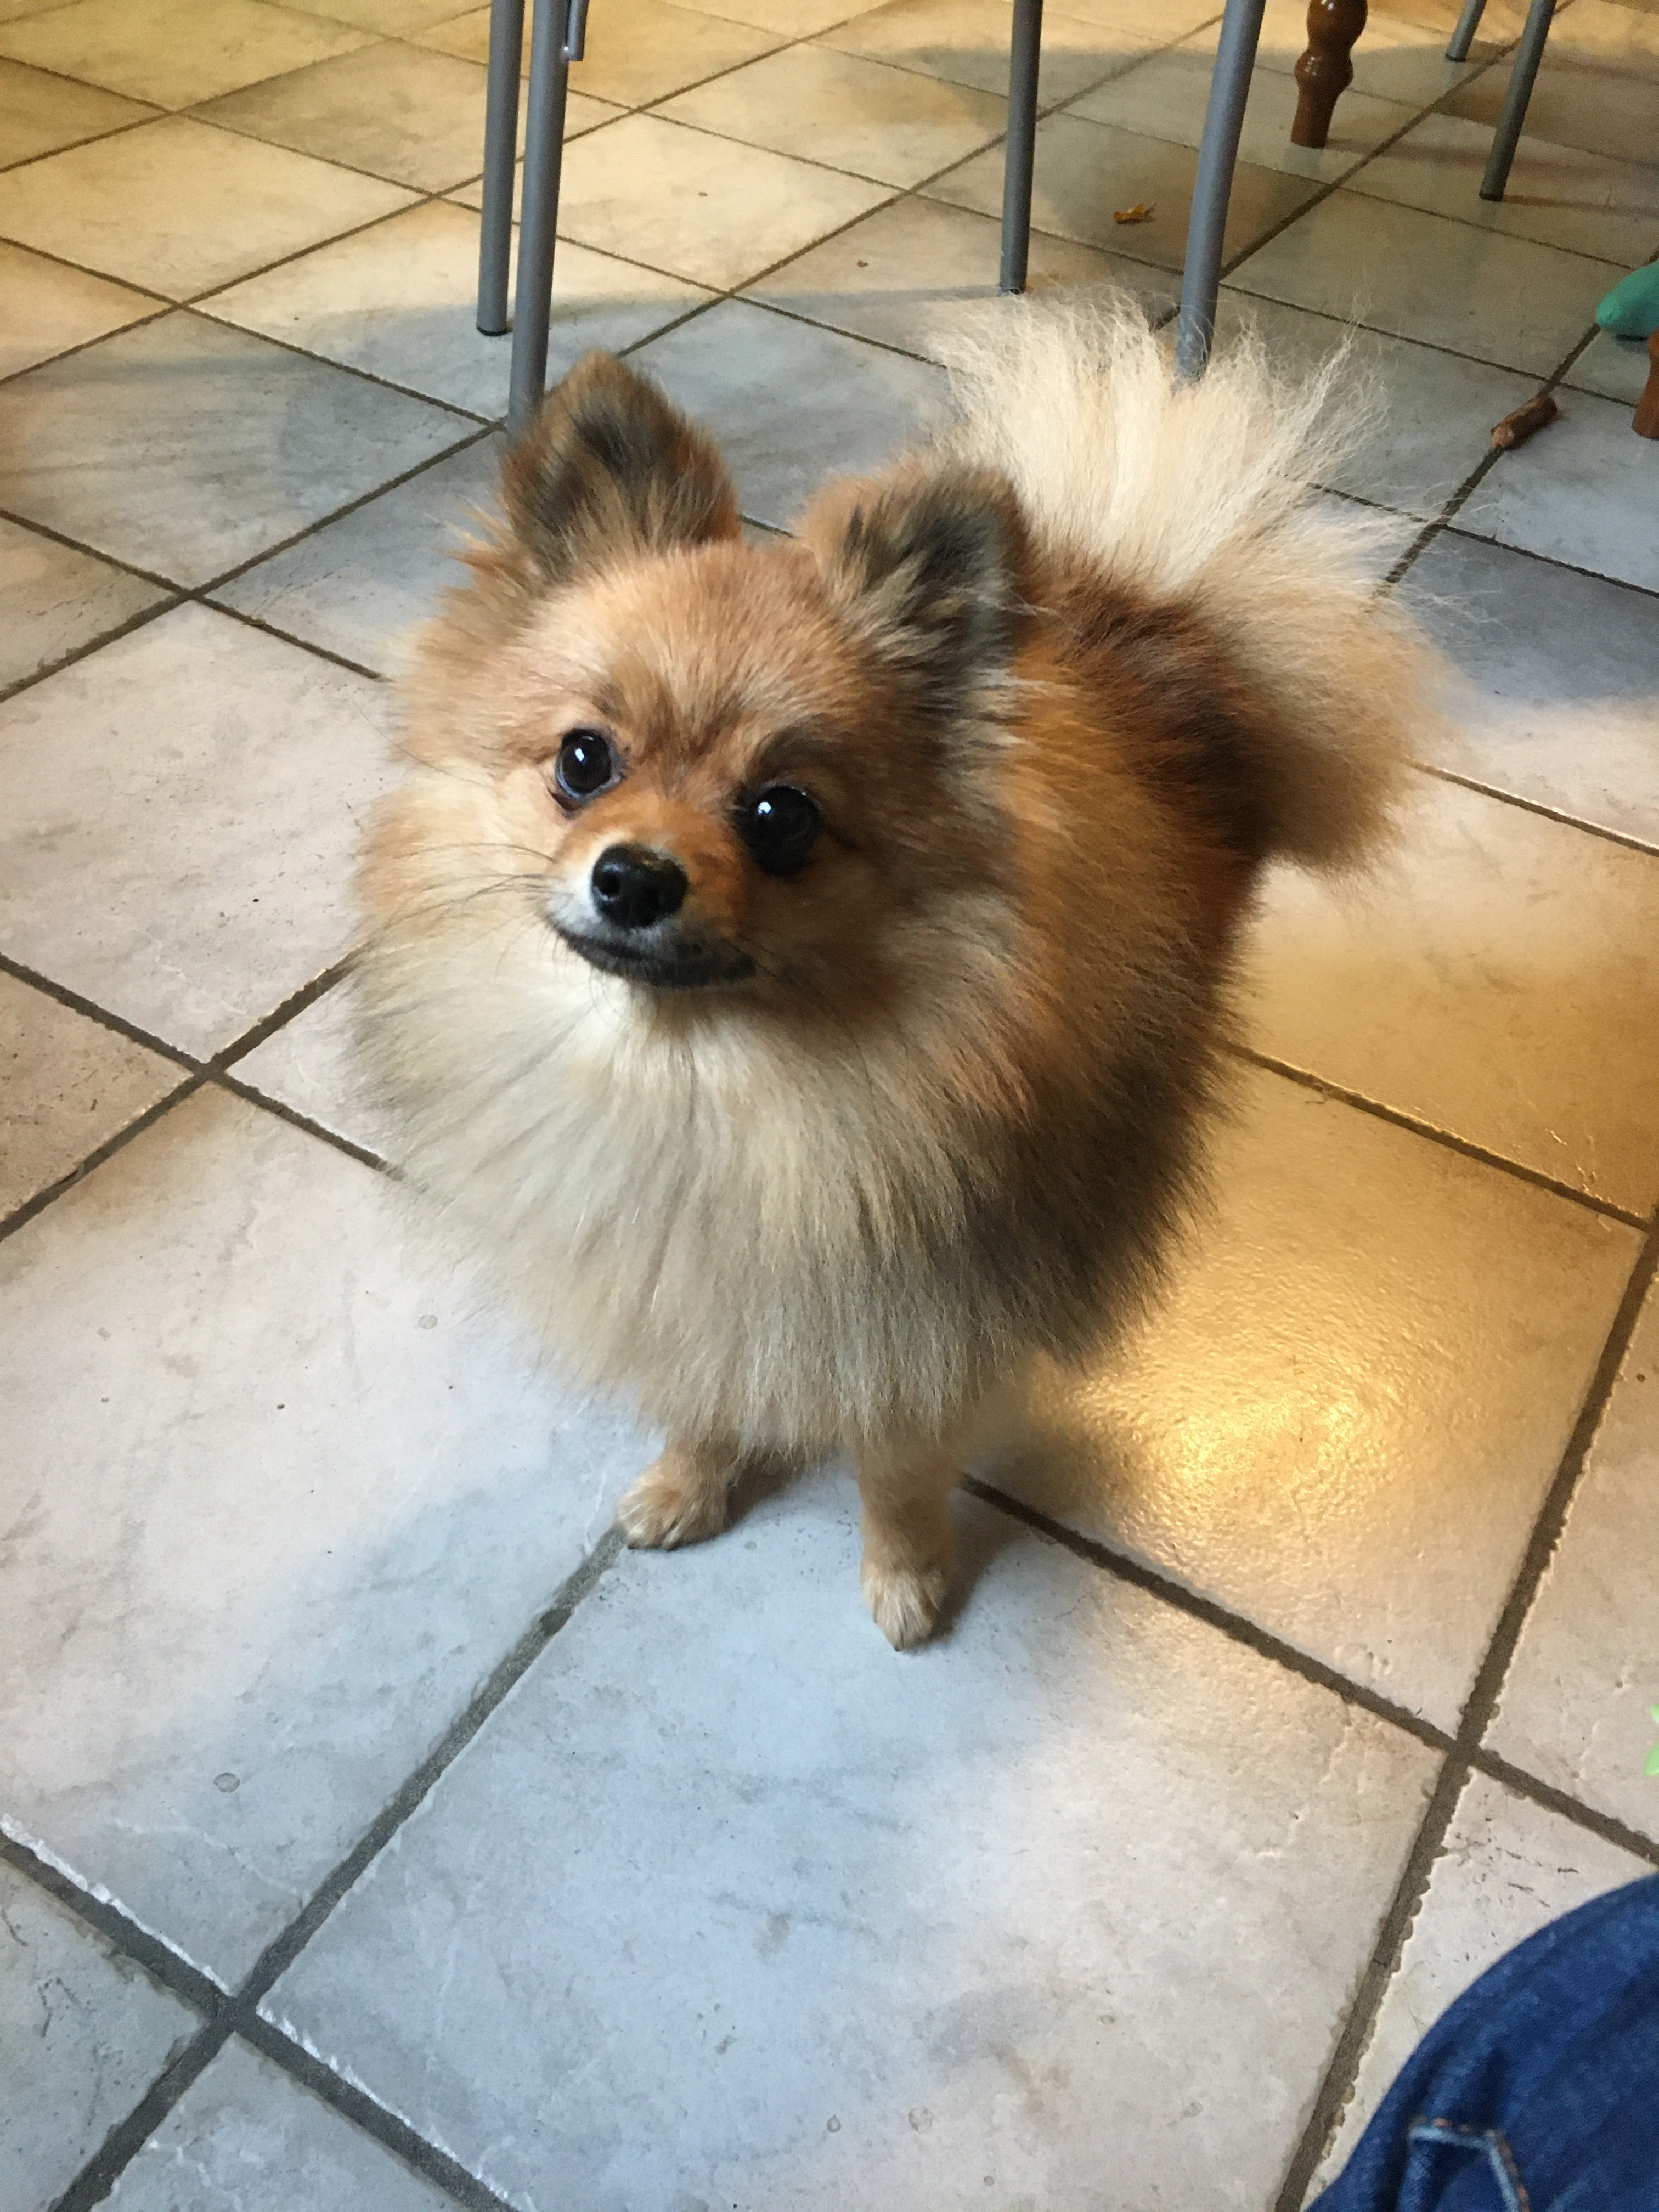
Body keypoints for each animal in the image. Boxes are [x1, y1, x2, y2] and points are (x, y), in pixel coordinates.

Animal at [356, 296, 1434, 1648]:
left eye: (781, 816)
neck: (700, 1087)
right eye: (584, 761)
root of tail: (1149, 615)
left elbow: (897, 1467)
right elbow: (705, 1394)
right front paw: (690, 1481)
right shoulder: (684, 1285)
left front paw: (908, 1575)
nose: (634, 877)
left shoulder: (921, 1326)